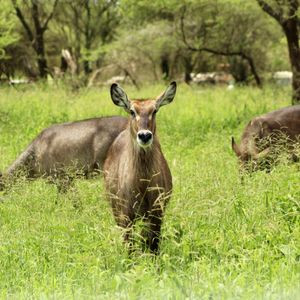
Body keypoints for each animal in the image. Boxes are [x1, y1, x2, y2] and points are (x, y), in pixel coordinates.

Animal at [105, 81, 177, 252]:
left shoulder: (156, 213)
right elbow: (130, 248)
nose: (144, 135)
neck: (142, 185)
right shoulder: (126, 215)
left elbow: (153, 246)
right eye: (132, 111)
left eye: (155, 110)